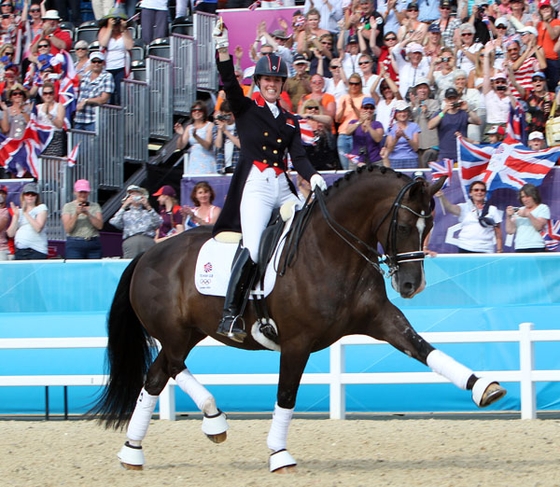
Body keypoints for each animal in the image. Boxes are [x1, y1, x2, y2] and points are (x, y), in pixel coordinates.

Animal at [93, 167, 508, 472]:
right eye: (404, 227)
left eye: (431, 224)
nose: (411, 285)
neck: (331, 248)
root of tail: (146, 254)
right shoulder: (296, 342)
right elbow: (286, 394)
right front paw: (279, 454)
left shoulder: (382, 319)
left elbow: (425, 349)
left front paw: (484, 387)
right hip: (177, 333)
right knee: (170, 367)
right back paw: (207, 421)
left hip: (190, 332)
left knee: (159, 374)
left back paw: (140, 448)